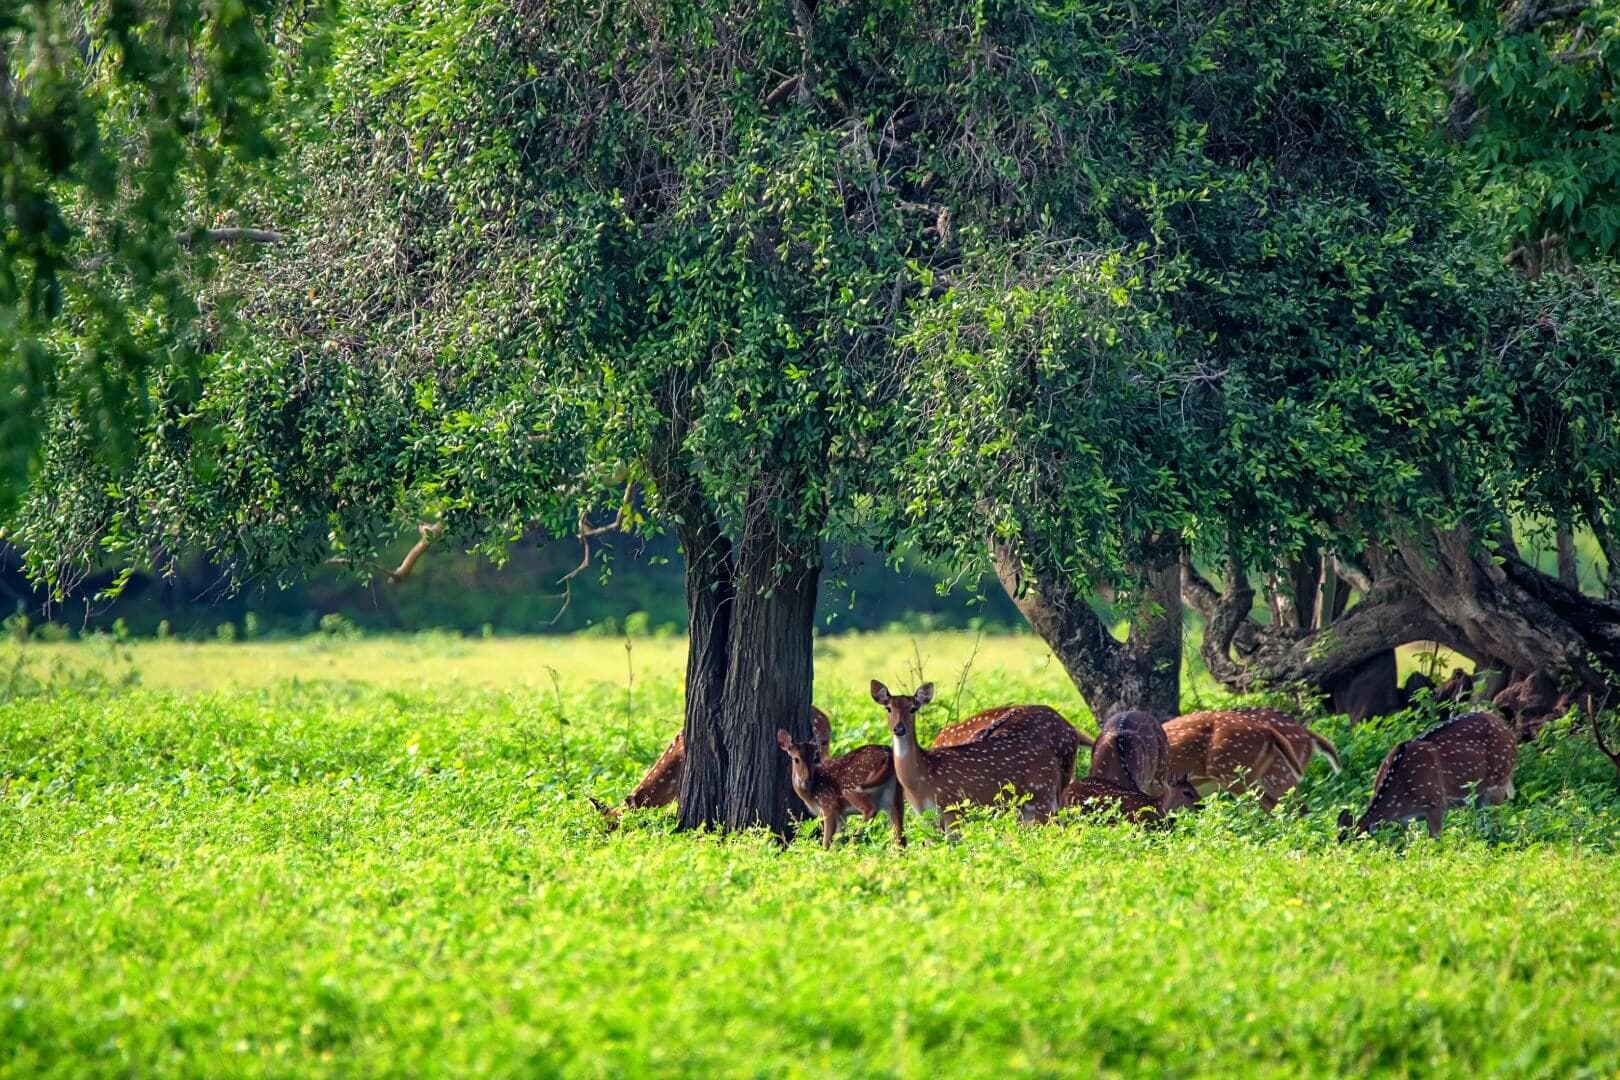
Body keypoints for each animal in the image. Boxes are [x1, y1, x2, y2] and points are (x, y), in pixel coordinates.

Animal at [870, 681, 1079, 832]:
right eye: (888, 708)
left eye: (913, 708)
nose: (899, 729)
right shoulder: (925, 816)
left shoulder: (953, 806)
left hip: (1042, 796)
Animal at [1339, 711, 1518, 838]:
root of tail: (1510, 732)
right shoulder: (1403, 821)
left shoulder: (1435, 802)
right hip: (1480, 796)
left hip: (1498, 780)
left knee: (1496, 823)